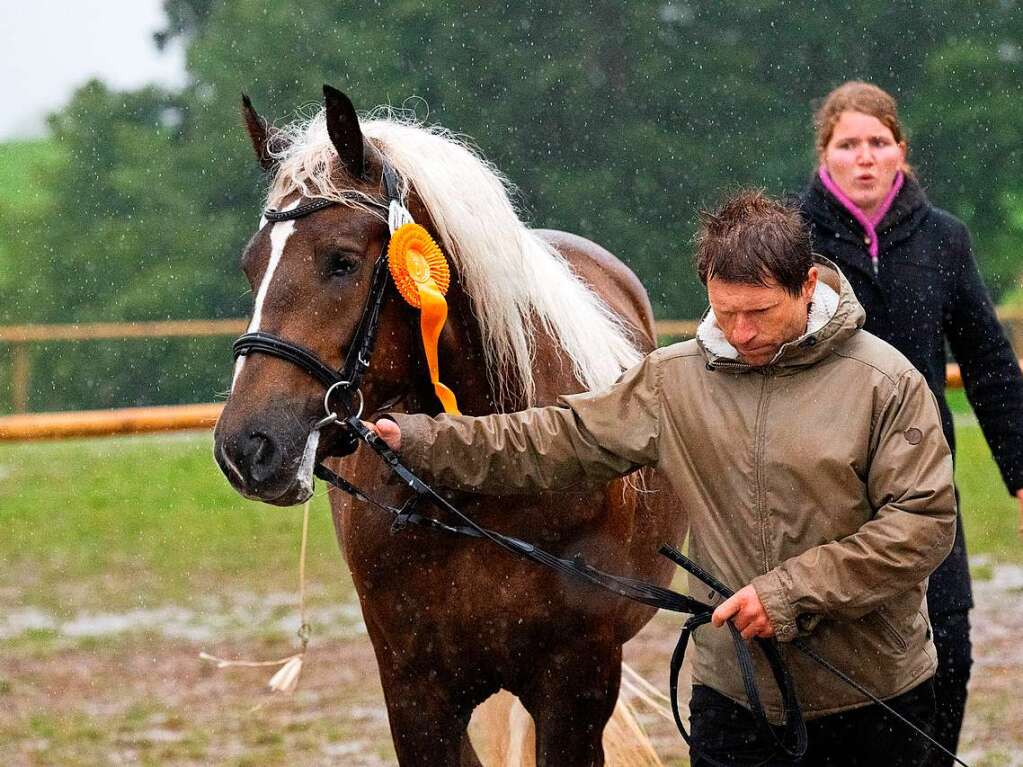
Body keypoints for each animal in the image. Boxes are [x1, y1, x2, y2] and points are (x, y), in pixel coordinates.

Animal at [214, 86, 687, 764]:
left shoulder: (575, 690)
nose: (247, 447)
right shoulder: (416, 696)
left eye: (341, 262)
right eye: (252, 267)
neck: (486, 474)